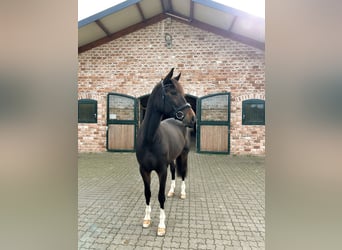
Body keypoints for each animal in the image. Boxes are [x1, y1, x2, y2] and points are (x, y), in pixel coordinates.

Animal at [136, 68, 195, 236]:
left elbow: (160, 197)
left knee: (183, 173)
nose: (192, 118)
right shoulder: (144, 170)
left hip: (184, 155)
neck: (150, 139)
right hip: (172, 159)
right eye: (173, 92)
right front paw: (146, 220)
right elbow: (148, 193)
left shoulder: (161, 170)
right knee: (175, 171)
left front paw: (161, 226)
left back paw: (182, 193)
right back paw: (172, 191)